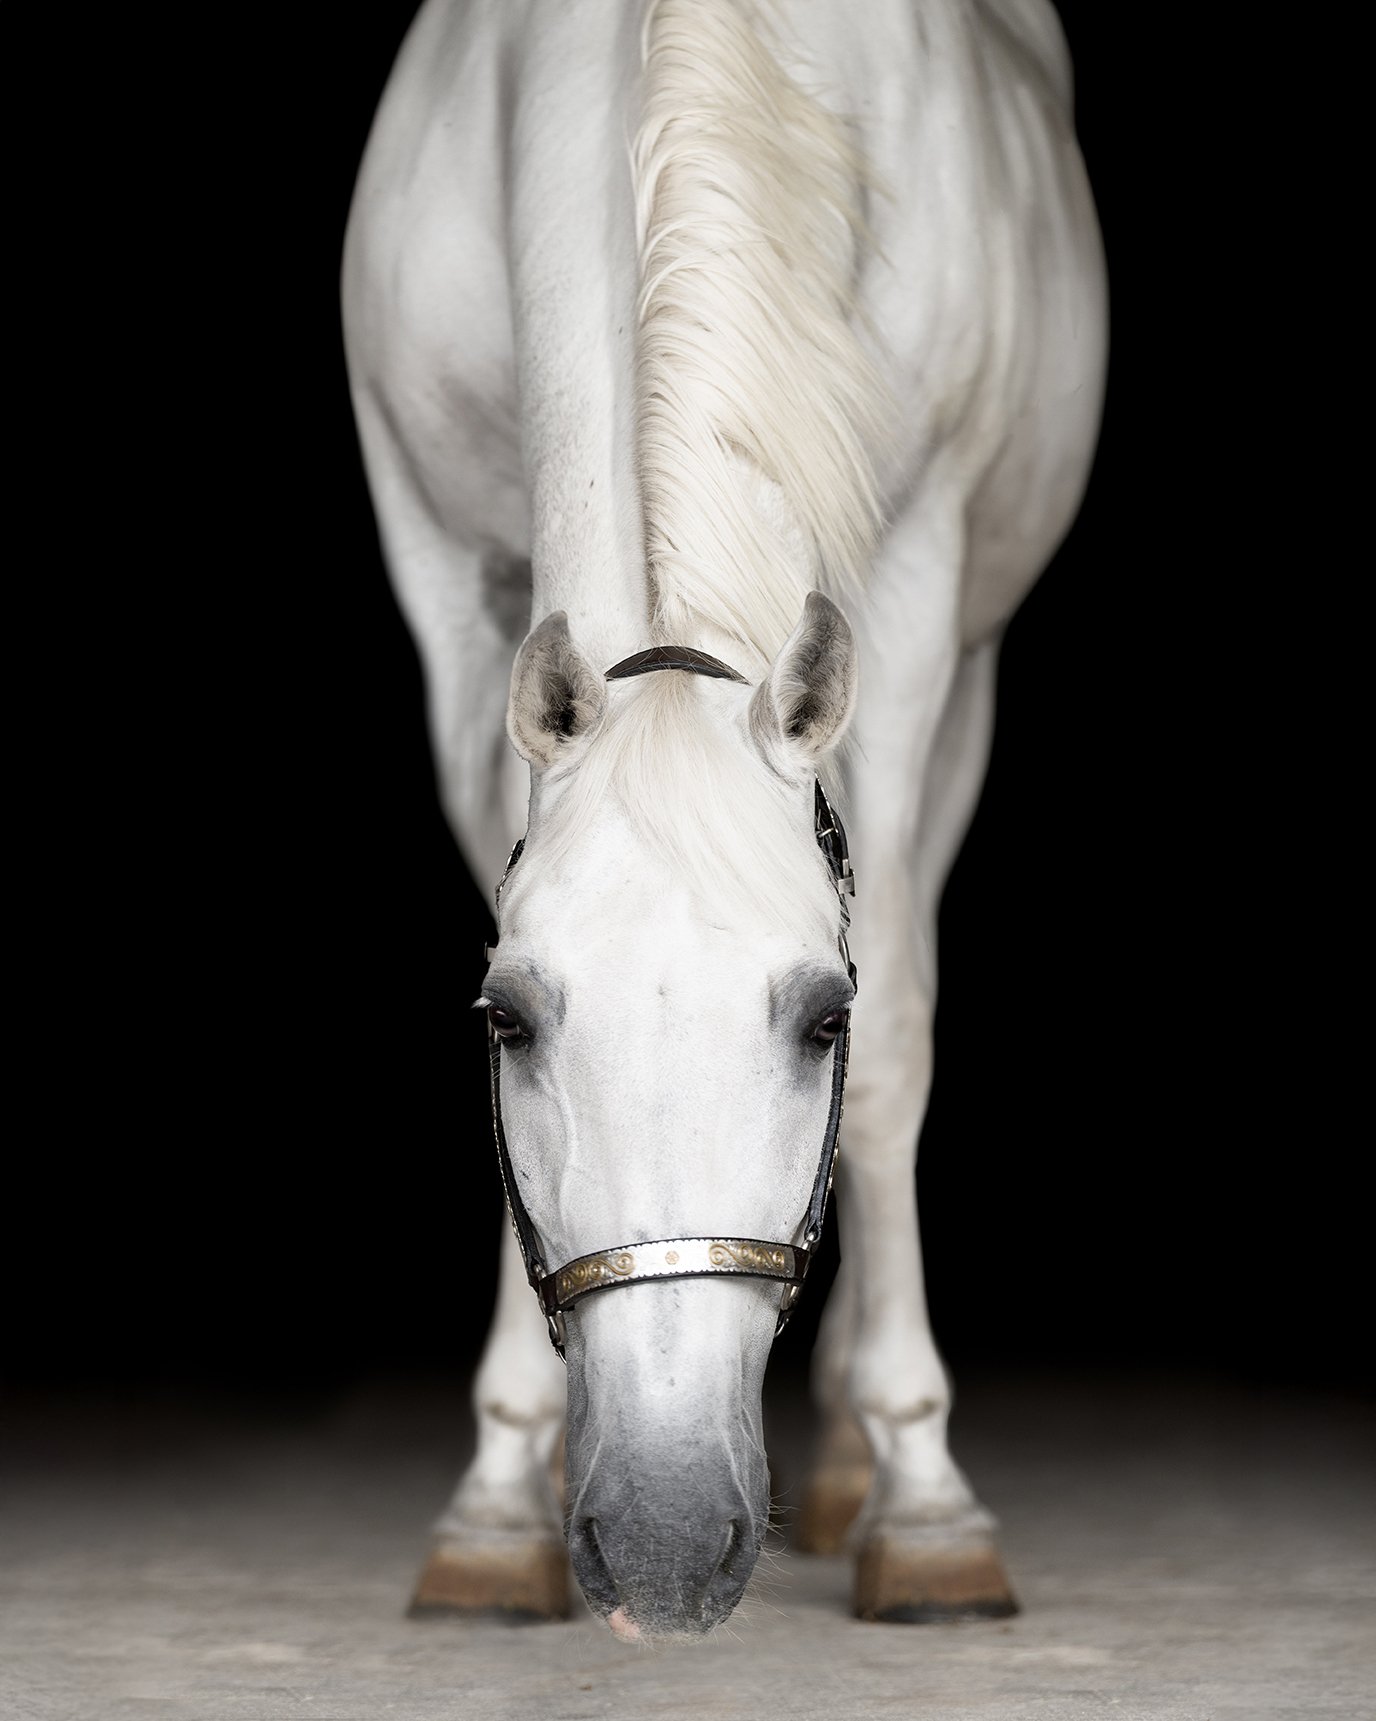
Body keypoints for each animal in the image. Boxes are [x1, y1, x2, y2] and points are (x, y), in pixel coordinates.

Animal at [342, 0, 1105, 1642]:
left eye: (820, 1016)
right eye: (506, 1019)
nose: (666, 1538)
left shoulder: (917, 585)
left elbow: (896, 1051)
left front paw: (927, 1501)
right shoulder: (450, 591)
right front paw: (498, 1491)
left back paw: (867, 1473)